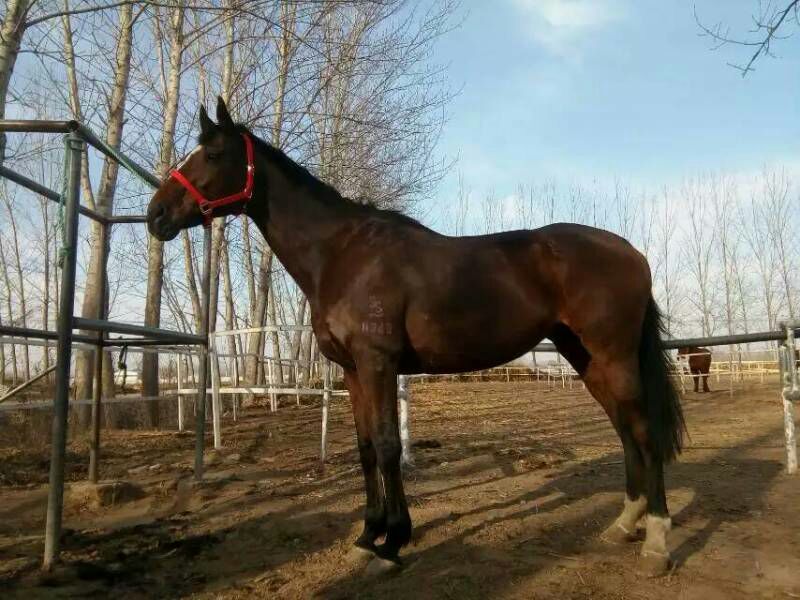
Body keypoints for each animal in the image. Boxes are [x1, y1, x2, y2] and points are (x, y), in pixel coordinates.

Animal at [147, 97, 686, 576]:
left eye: (212, 154)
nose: (156, 215)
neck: (342, 254)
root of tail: (632, 253)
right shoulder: (352, 371)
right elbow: (366, 448)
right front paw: (367, 537)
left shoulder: (378, 363)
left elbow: (389, 446)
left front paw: (393, 542)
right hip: (586, 359)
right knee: (625, 432)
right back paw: (624, 525)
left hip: (614, 356)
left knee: (643, 433)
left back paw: (656, 543)